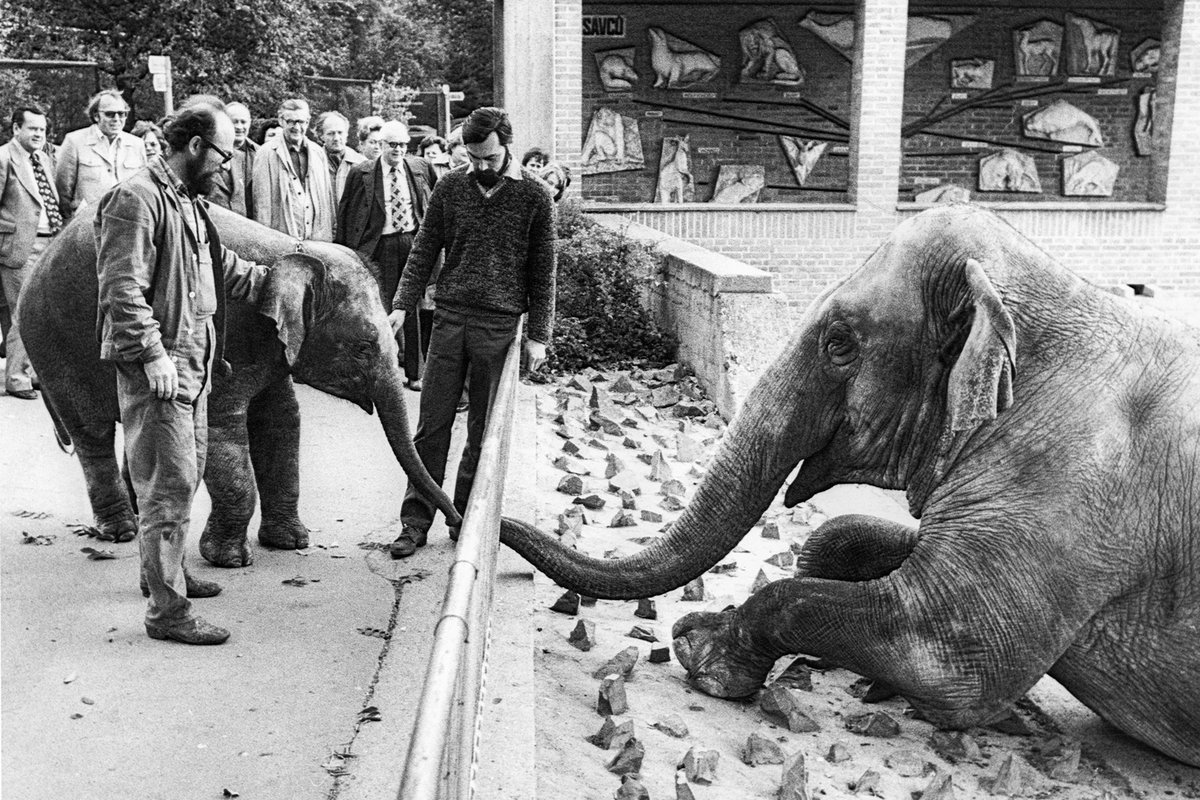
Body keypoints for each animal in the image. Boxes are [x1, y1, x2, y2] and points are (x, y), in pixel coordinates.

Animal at [19, 206, 458, 568]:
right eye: (363, 347)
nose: (455, 522)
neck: (294, 251)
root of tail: (42, 256)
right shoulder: (227, 339)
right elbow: (222, 431)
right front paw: (229, 560)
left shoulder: (271, 347)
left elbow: (282, 420)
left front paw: (291, 543)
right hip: (53, 344)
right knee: (90, 432)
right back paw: (121, 531)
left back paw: (145, 520)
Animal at [499, 203, 1200, 767]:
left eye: (839, 343)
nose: (498, 525)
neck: (1047, 283)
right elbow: (843, 534)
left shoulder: (1070, 486)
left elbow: (959, 659)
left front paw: (703, 653)